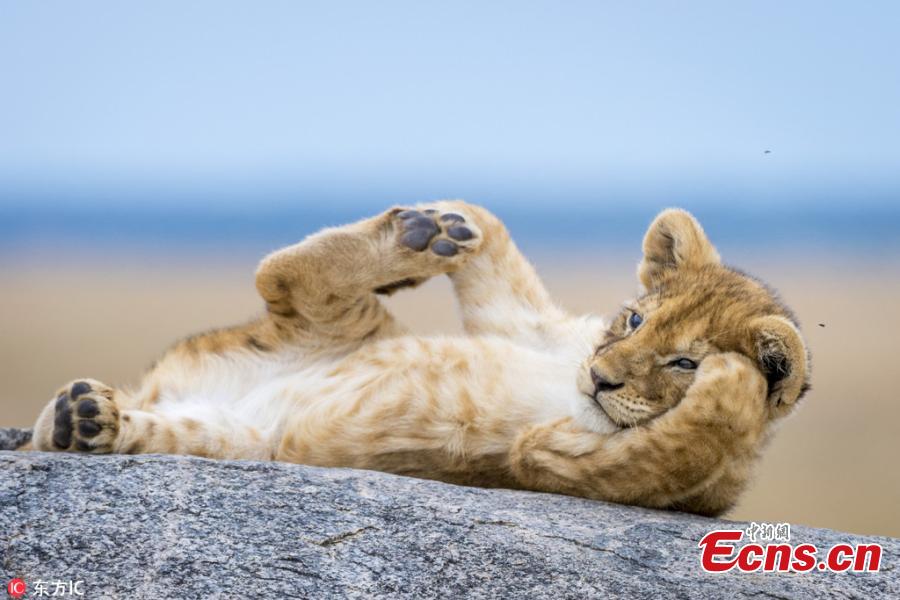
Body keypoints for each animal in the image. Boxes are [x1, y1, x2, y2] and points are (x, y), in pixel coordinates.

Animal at [26, 201, 810, 516]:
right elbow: (500, 261)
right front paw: (462, 223)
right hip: (336, 324)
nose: (598, 377)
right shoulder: (535, 327)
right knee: (282, 272)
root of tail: (167, 385)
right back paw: (424, 232)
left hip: (246, 439)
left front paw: (741, 375)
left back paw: (83, 419)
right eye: (636, 318)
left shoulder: (559, 463)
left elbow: (692, 438)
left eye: (683, 364)